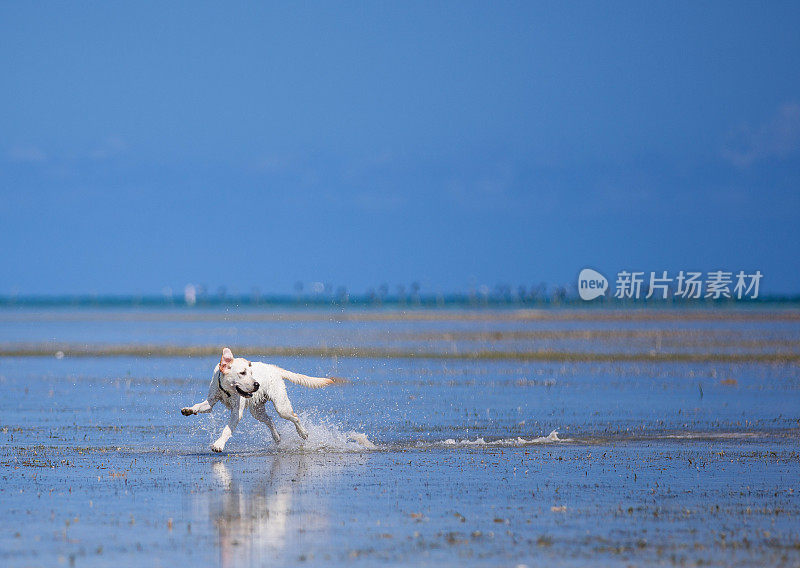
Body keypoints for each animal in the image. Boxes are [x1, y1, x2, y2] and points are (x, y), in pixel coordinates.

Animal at [181, 346, 334, 452]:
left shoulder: (236, 412)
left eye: (251, 373)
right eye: (242, 373)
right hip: (257, 411)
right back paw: (277, 437)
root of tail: (274, 368)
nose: (257, 384)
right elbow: (199, 406)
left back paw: (303, 433)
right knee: (270, 420)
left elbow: (227, 430)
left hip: (281, 406)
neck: (227, 390)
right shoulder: (210, 402)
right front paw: (189, 410)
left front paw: (218, 444)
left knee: (295, 417)